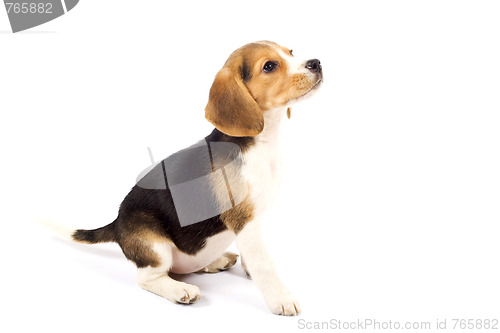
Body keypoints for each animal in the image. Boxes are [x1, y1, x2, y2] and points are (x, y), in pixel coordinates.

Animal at [71, 40, 324, 316]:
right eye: (269, 66)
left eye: (290, 52)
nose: (316, 63)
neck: (262, 143)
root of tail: (116, 223)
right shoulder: (245, 221)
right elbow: (264, 264)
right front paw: (281, 298)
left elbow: (252, 257)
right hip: (154, 245)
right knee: (148, 277)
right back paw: (180, 290)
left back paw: (215, 261)